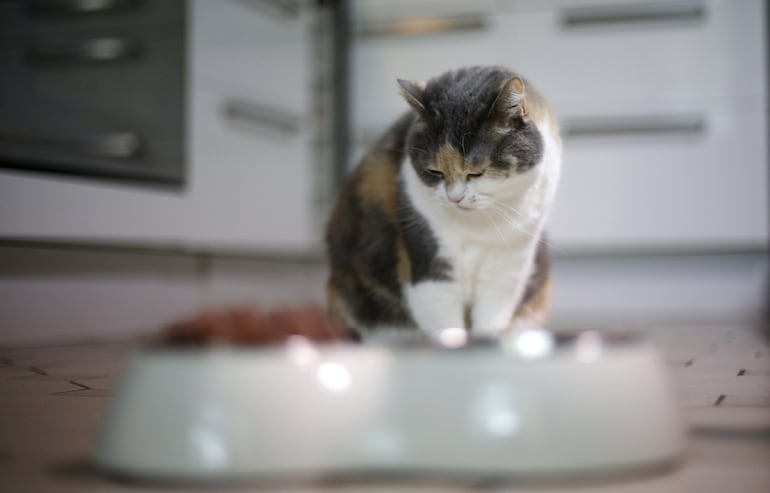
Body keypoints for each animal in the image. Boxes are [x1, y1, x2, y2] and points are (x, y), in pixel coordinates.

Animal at [324, 66, 560, 338]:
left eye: (476, 173)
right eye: (434, 171)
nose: (454, 198)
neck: (480, 227)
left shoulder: (508, 263)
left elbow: (492, 313)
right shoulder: (427, 252)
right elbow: (442, 316)